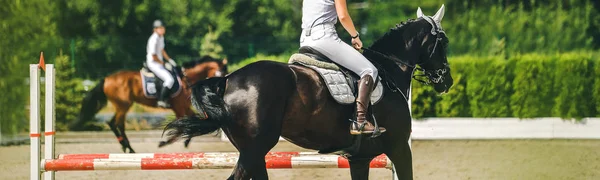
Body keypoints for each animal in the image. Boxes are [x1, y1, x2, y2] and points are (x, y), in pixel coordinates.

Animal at [72, 55, 227, 153]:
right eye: (222, 71)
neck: (186, 79)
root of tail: (107, 78)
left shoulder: (183, 106)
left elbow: (191, 120)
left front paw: (185, 140)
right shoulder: (179, 106)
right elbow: (182, 122)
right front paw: (165, 142)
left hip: (123, 106)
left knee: (117, 124)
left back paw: (127, 147)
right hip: (123, 105)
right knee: (115, 123)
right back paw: (128, 147)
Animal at [162, 5, 452, 180]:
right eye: (444, 42)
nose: (446, 81)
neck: (388, 68)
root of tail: (228, 80)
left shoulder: (360, 158)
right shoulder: (400, 147)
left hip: (252, 151)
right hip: (255, 148)